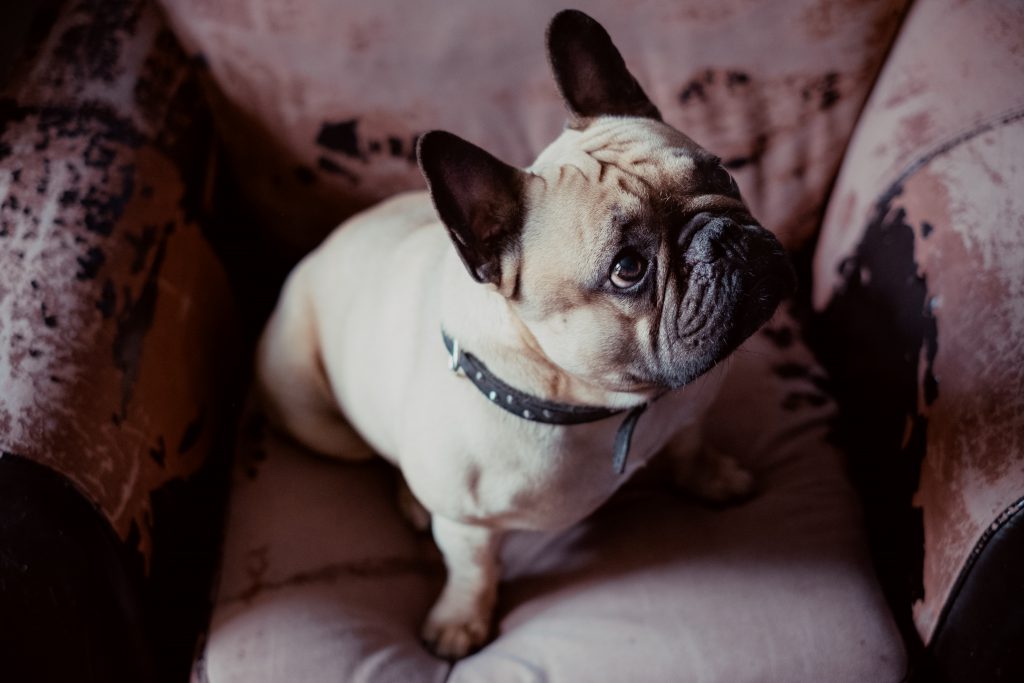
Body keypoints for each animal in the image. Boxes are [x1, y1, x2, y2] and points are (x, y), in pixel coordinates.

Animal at [253, 9, 790, 663]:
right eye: (628, 268)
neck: (607, 406)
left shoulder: (688, 411)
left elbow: (689, 443)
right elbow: (473, 571)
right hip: (317, 419)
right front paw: (460, 621)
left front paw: (711, 478)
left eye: (724, 174)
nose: (722, 236)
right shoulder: (467, 528)